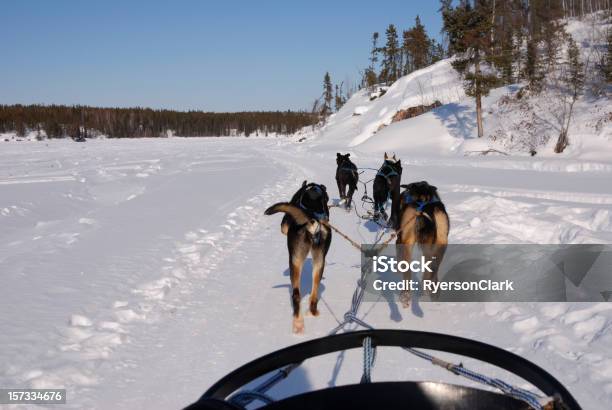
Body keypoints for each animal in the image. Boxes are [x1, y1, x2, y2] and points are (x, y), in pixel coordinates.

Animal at [262, 182, 330, 334]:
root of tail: (312, 222)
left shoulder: (284, 226)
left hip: (295, 261)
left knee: (296, 295)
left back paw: (298, 324)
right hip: (320, 262)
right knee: (313, 295)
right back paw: (312, 312)